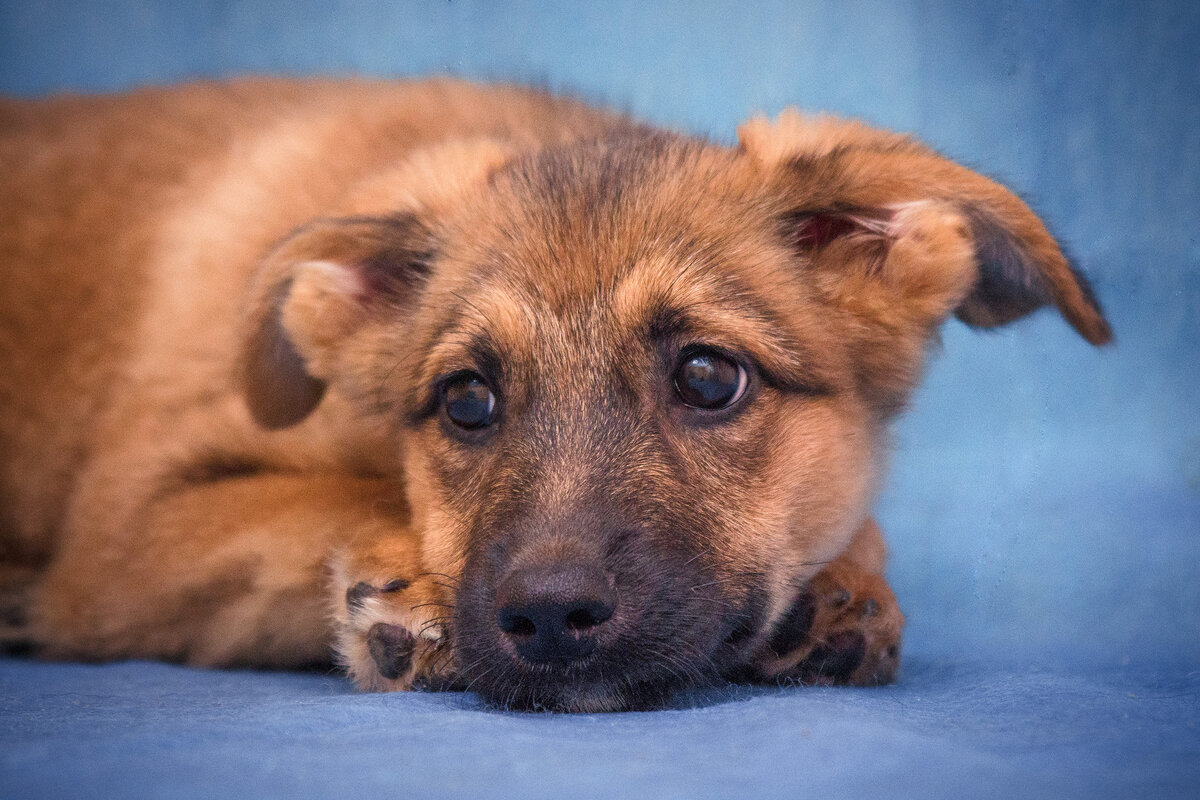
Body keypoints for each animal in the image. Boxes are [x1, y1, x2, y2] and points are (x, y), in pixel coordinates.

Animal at [0, 77, 1104, 710]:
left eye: (709, 376)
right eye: (465, 400)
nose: (548, 617)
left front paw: (847, 591)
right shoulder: (123, 535)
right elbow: (342, 498)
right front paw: (404, 599)